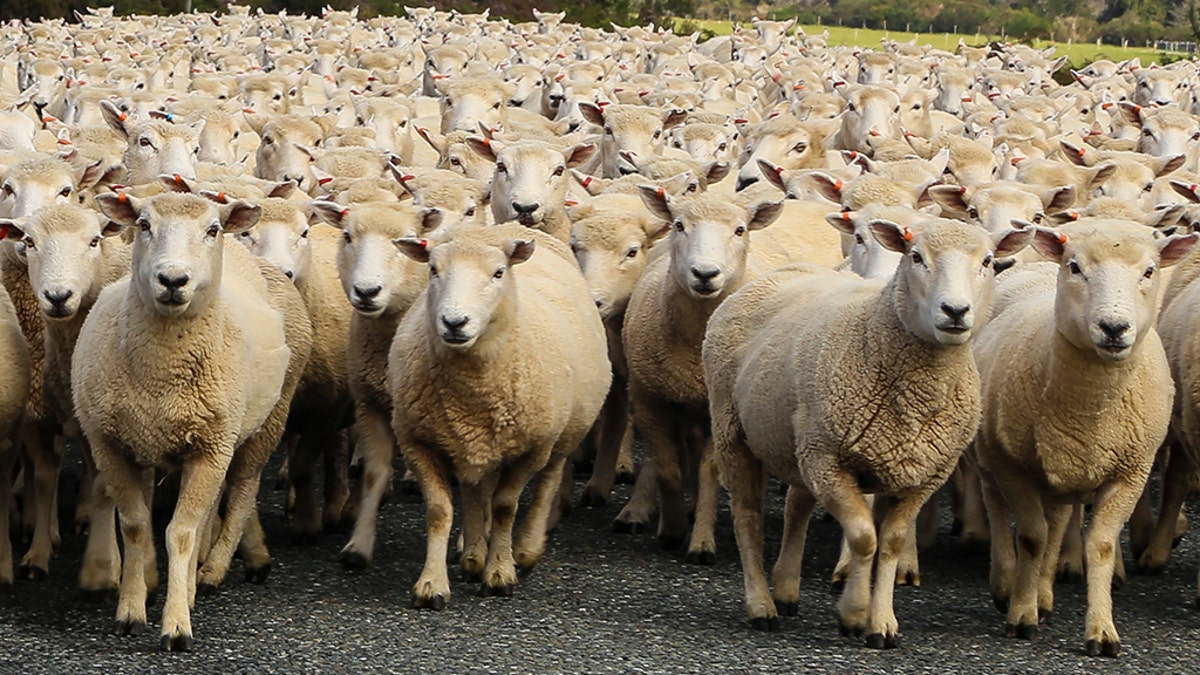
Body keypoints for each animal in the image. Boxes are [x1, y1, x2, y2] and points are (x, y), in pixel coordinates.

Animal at [700, 214, 1032, 638]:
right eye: (915, 256)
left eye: (988, 260)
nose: (955, 311)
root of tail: (779, 274)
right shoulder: (831, 462)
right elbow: (862, 538)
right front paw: (855, 613)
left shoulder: (922, 475)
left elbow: (890, 542)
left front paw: (883, 623)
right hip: (735, 432)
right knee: (747, 517)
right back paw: (761, 605)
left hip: (799, 443)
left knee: (796, 508)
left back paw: (787, 588)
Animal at [974, 222, 1190, 658]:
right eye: (1075, 267)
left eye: (1149, 271)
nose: (1114, 328)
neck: (1090, 409)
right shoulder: (1014, 468)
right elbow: (1031, 536)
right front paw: (1021, 615)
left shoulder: (1130, 474)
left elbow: (1099, 546)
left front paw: (1101, 631)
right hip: (993, 454)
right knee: (998, 507)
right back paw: (1006, 584)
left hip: (1060, 472)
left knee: (1057, 522)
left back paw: (1043, 595)